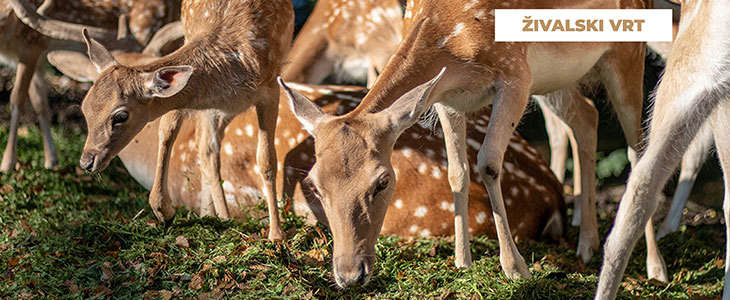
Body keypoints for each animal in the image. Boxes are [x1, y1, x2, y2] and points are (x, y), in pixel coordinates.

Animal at [29, 0, 292, 240]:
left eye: (121, 116)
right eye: (84, 107)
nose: (86, 162)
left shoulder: (270, 89)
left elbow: (267, 160)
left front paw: (277, 236)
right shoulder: (192, 99)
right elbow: (167, 132)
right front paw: (163, 210)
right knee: (208, 151)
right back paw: (220, 217)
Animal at [278, 0, 656, 288]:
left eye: (382, 181)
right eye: (313, 183)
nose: (349, 275)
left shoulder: (515, 74)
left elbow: (487, 163)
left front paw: (516, 268)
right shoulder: (447, 98)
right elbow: (456, 173)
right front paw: (462, 261)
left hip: (627, 53)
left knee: (638, 149)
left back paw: (655, 268)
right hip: (558, 78)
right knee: (587, 118)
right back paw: (587, 245)